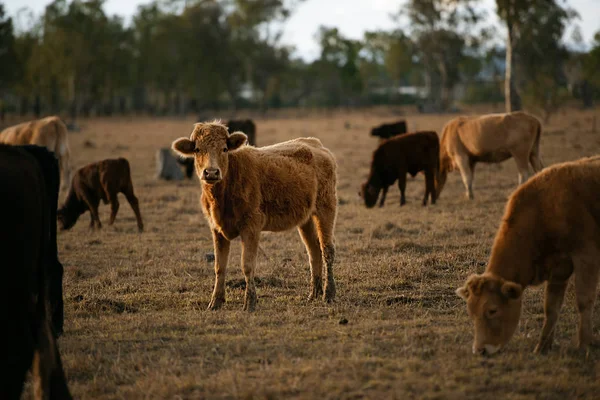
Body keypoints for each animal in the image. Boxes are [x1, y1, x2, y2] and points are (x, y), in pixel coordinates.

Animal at [172, 122, 338, 312]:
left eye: (224, 148)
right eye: (197, 149)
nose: (211, 172)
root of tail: (317, 145)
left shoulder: (251, 227)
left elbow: (247, 265)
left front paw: (250, 302)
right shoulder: (217, 229)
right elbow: (219, 266)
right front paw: (215, 302)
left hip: (326, 208)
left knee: (327, 249)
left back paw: (328, 294)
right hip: (306, 219)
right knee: (314, 250)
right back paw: (313, 294)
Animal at [458, 156, 600, 356]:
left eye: (493, 310)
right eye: (471, 313)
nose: (480, 350)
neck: (545, 208)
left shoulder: (586, 256)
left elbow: (584, 301)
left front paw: (584, 345)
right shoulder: (559, 269)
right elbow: (551, 307)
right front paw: (542, 347)